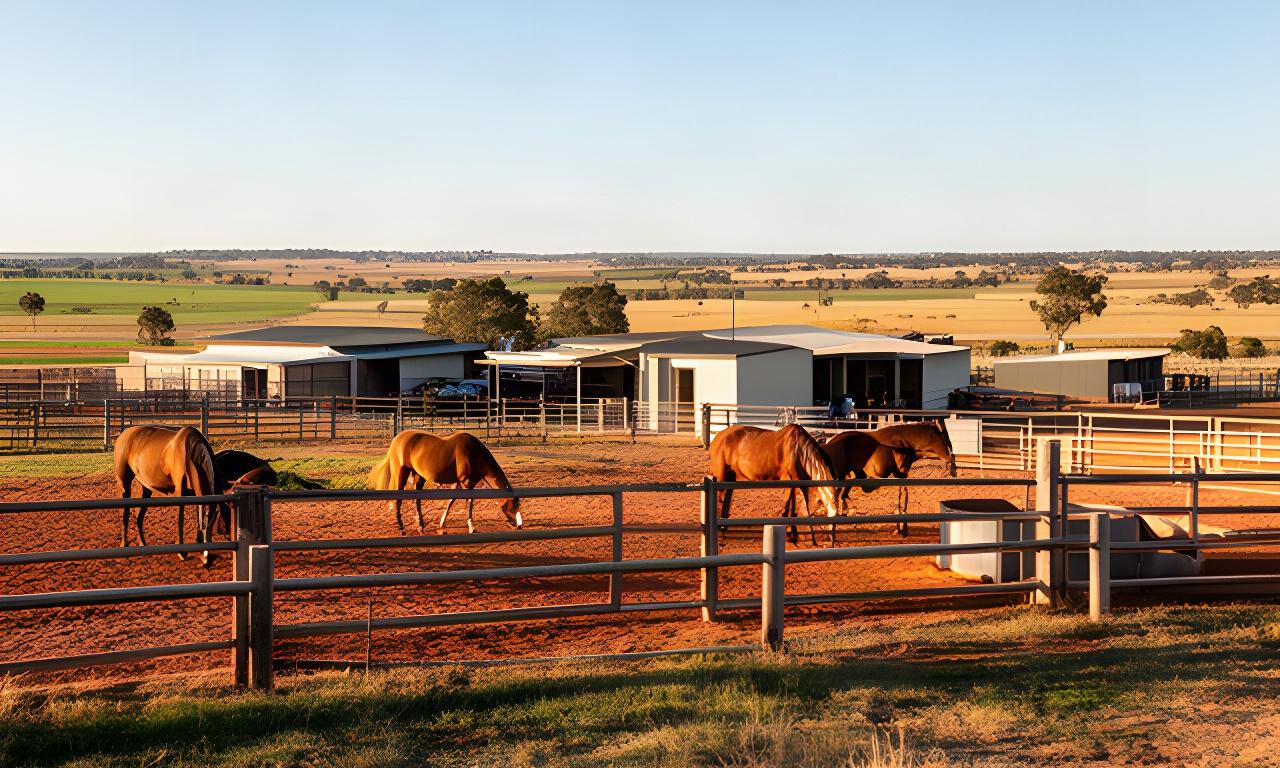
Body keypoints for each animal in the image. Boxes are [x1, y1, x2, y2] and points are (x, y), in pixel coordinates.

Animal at [113, 425, 218, 566]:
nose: (206, 558)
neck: (190, 452)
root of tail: (124, 434)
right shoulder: (180, 492)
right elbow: (180, 518)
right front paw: (181, 552)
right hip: (125, 485)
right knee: (126, 511)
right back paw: (124, 545)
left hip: (146, 488)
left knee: (139, 516)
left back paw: (143, 544)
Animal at [368, 430, 521, 534]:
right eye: (513, 507)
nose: (519, 525)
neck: (474, 453)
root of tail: (397, 439)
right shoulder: (467, 483)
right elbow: (469, 504)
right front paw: (471, 527)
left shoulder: (457, 483)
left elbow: (450, 502)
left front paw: (442, 526)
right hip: (402, 474)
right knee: (399, 498)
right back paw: (401, 526)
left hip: (419, 476)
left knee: (417, 498)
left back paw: (420, 525)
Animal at [708, 424, 840, 546]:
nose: (832, 543)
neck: (799, 450)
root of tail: (719, 436)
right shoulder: (789, 479)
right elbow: (789, 505)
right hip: (720, 477)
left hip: (730, 478)